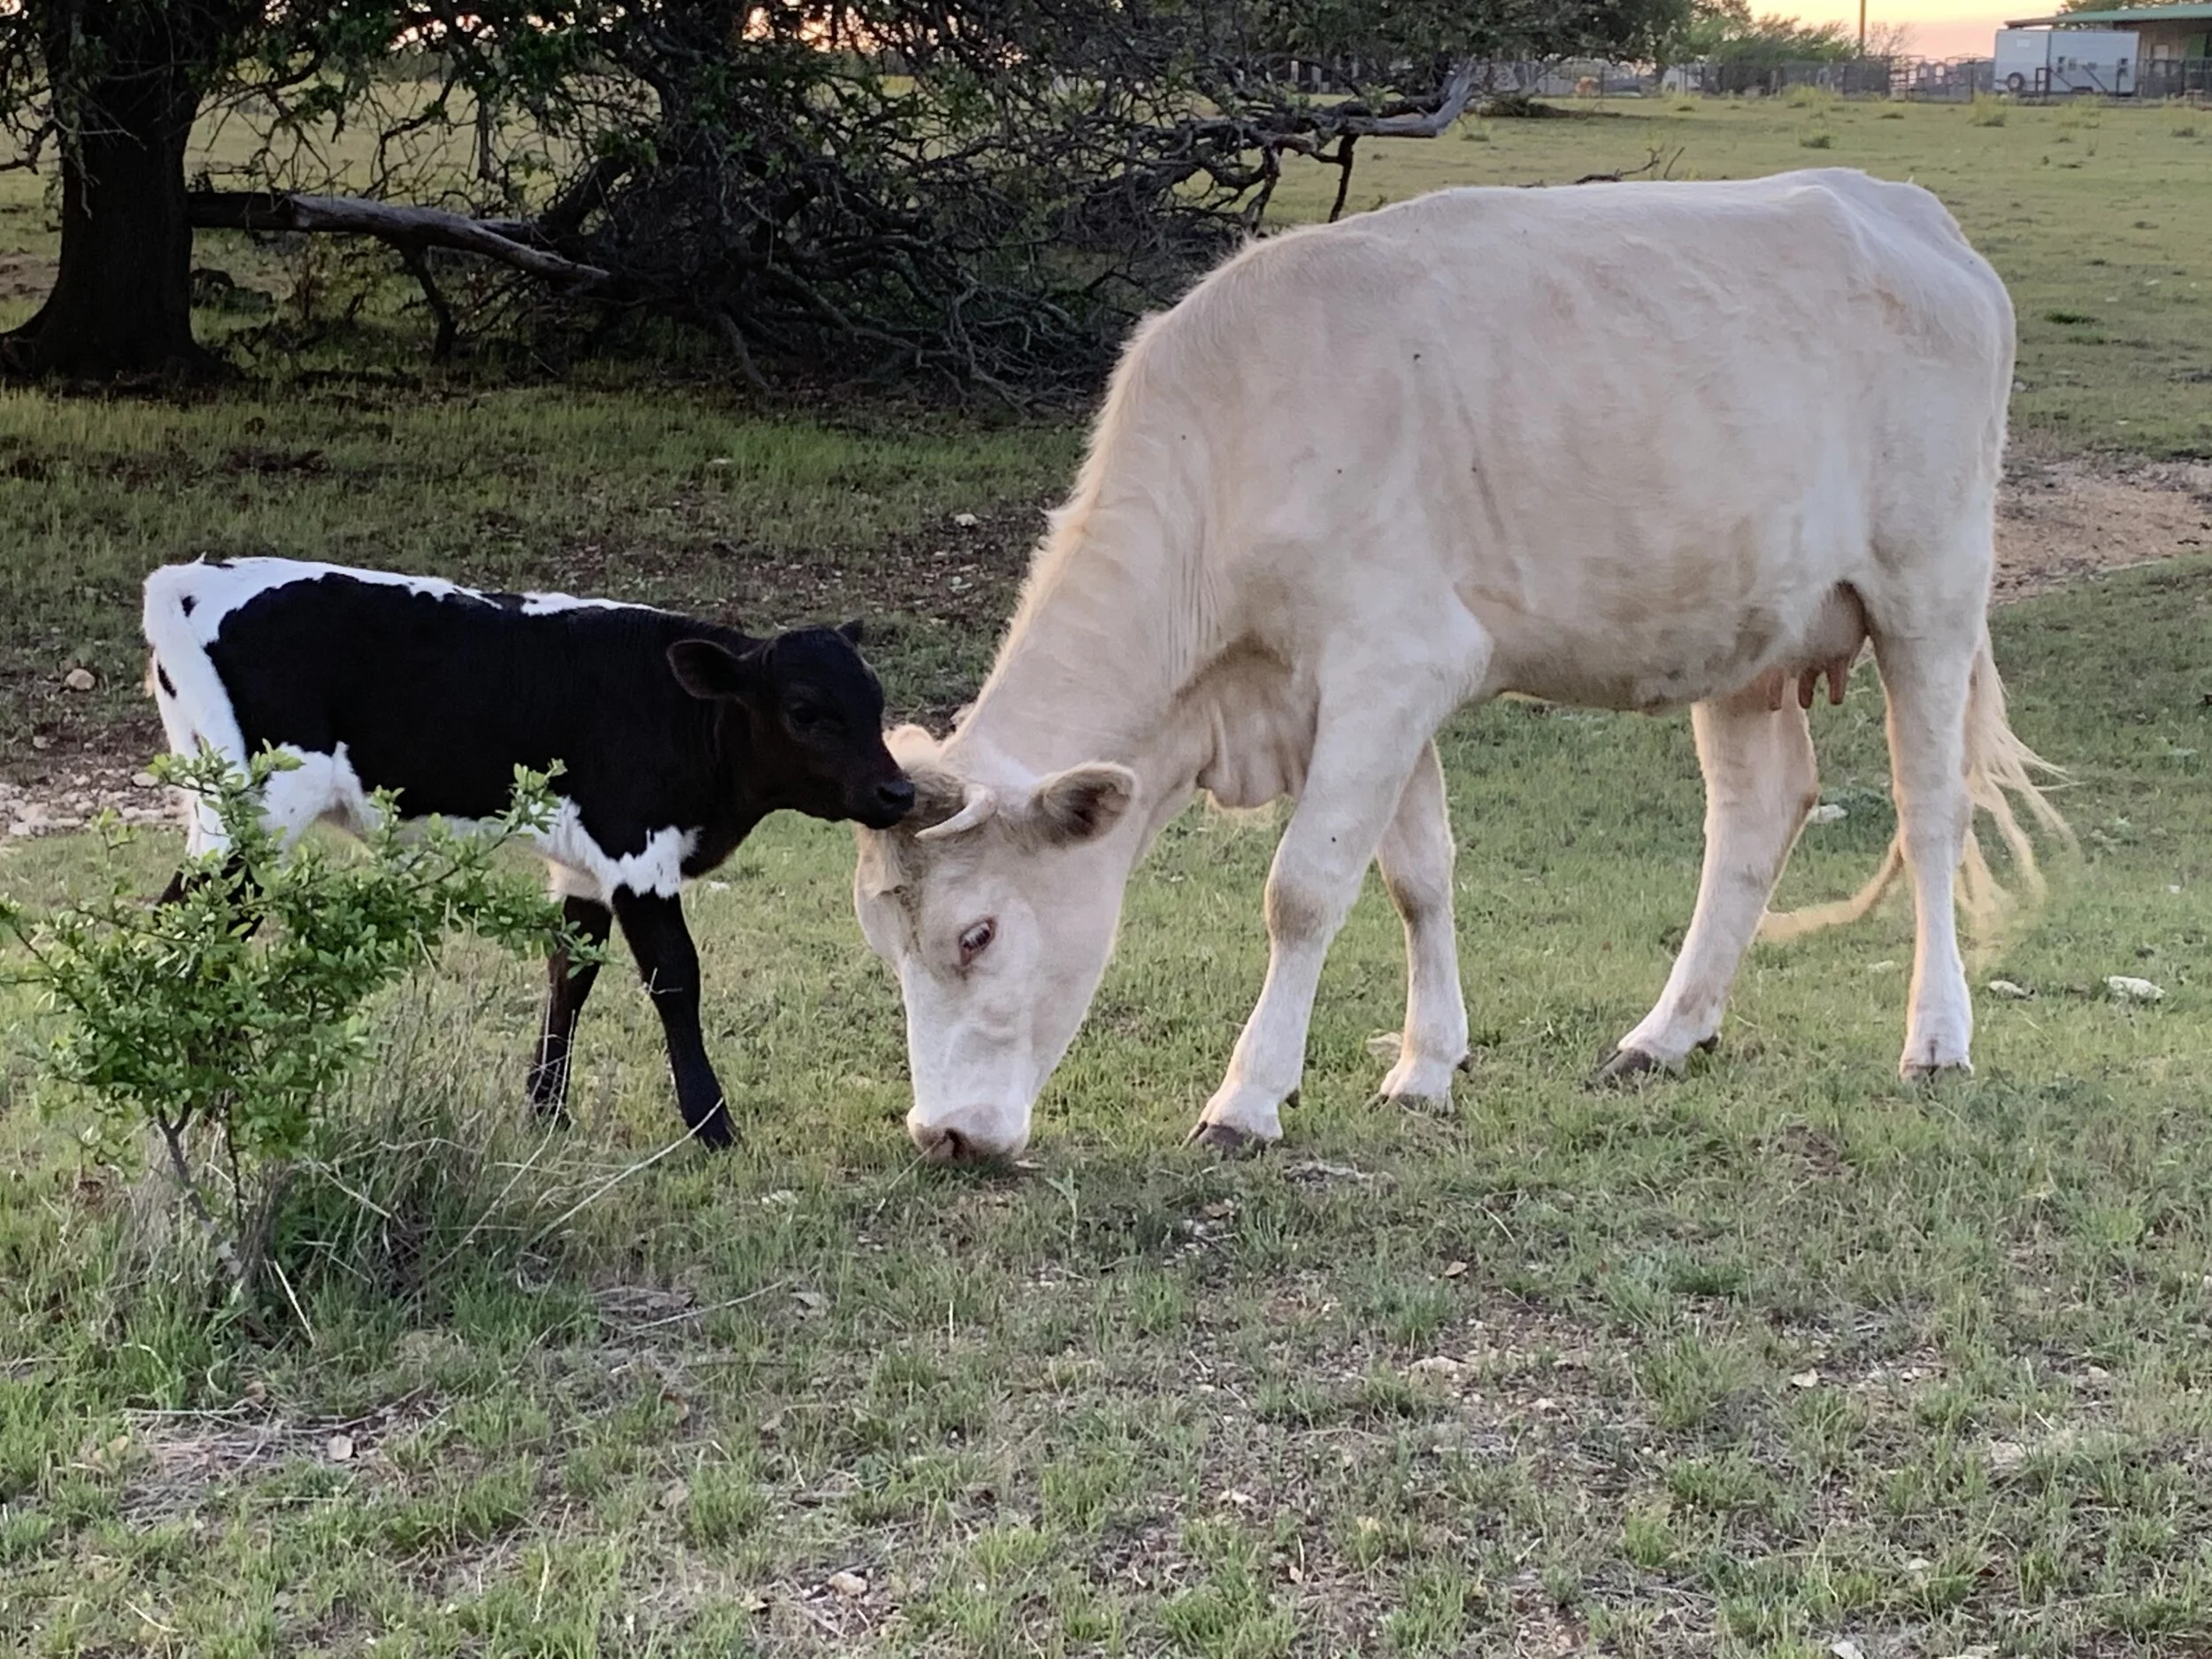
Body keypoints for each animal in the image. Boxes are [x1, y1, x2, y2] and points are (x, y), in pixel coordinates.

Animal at [144, 555, 915, 1148]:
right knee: (191, 929)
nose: (898, 790)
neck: (676, 711)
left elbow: (569, 973)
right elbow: (674, 976)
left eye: (875, 700)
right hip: (250, 817)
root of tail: (187, 580)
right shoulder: (637, 852)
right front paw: (712, 1124)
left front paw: (546, 1108)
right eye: (804, 711)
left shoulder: (582, 864)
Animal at [852, 167, 2070, 1166]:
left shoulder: (1389, 666)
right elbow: (1416, 875)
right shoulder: (1370, 699)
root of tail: (1906, 210)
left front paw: (1248, 1098)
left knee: (1928, 809)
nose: (941, 1134)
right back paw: (1666, 1034)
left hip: (1930, 589)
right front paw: (1426, 1066)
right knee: (1756, 815)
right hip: (1749, 635)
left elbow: (1303, 892)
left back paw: (1935, 1040)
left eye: (976, 933)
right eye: (885, 941)